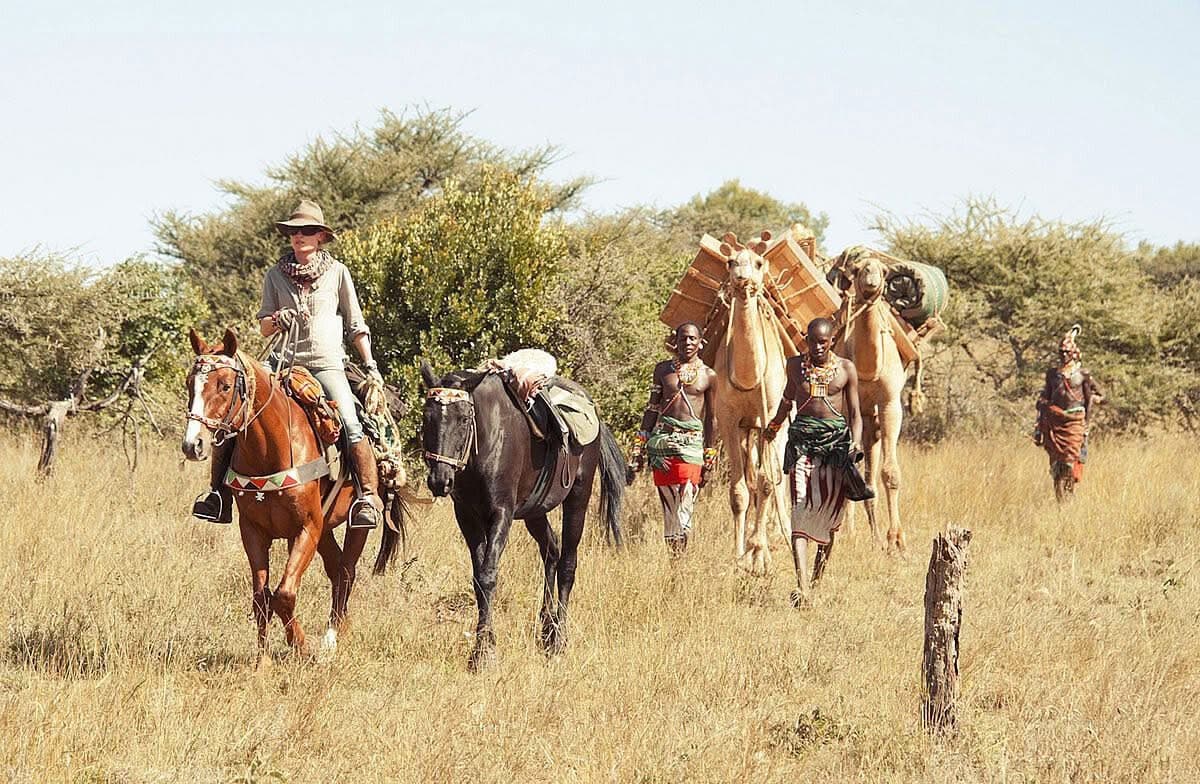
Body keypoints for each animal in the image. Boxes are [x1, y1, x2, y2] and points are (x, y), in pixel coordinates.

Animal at [181, 328, 402, 666]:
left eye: (225, 385)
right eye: (189, 383)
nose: (193, 444)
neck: (270, 450)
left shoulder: (306, 527)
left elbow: (284, 594)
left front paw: (301, 645)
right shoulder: (254, 531)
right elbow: (262, 597)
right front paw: (263, 662)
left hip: (352, 524)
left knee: (346, 571)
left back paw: (331, 638)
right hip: (324, 528)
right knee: (335, 568)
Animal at [420, 360, 626, 671]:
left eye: (464, 419)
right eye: (427, 417)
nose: (439, 480)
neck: (487, 439)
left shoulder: (501, 514)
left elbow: (488, 575)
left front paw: (482, 654)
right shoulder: (466, 517)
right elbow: (478, 579)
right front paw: (485, 644)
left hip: (577, 498)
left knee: (567, 564)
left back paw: (558, 639)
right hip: (534, 512)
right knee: (551, 550)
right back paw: (546, 629)